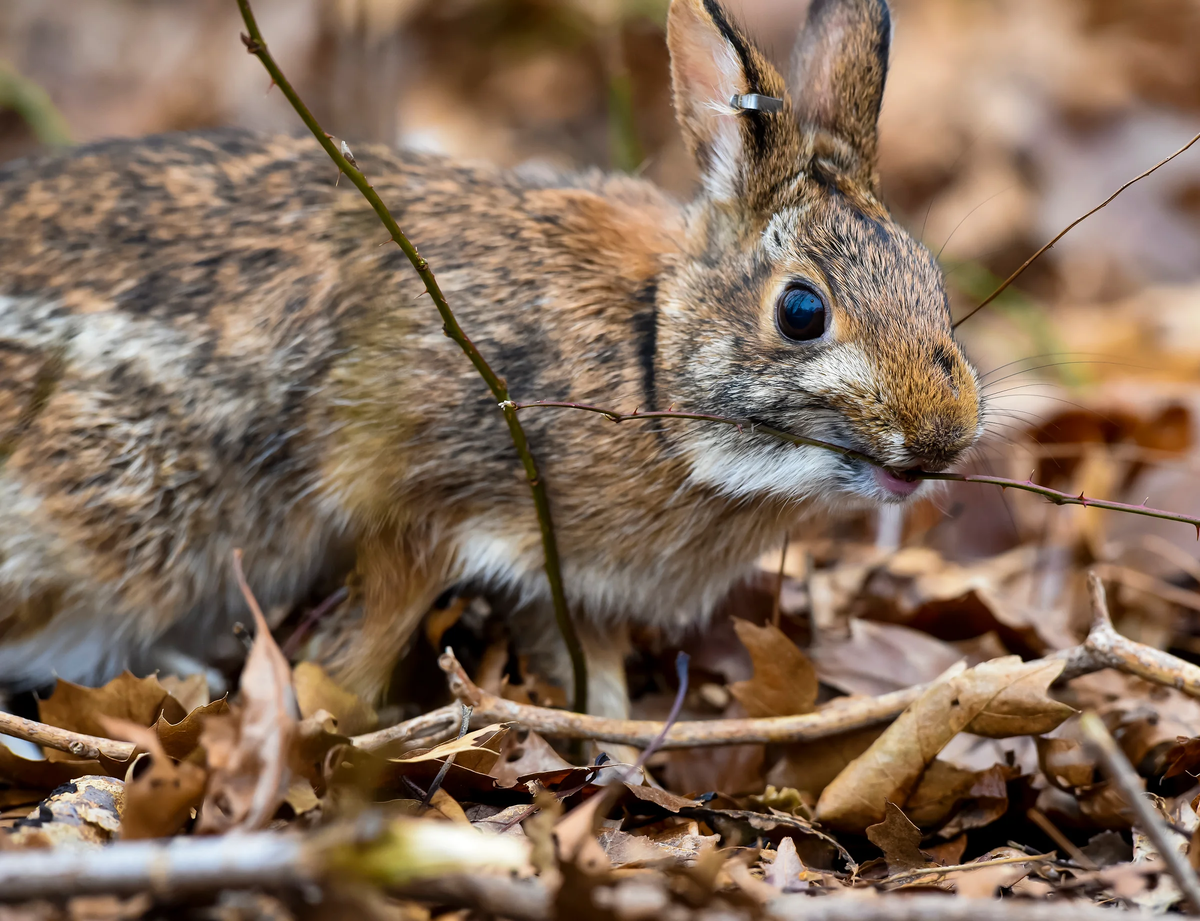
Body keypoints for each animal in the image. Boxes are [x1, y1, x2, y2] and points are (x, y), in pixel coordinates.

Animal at [0, 0, 979, 714]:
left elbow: (592, 675)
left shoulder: (565, 582)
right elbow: (368, 636)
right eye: (802, 311)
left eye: (933, 283)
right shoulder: (419, 508)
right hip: (133, 507)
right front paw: (332, 718)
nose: (944, 437)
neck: (649, 354)